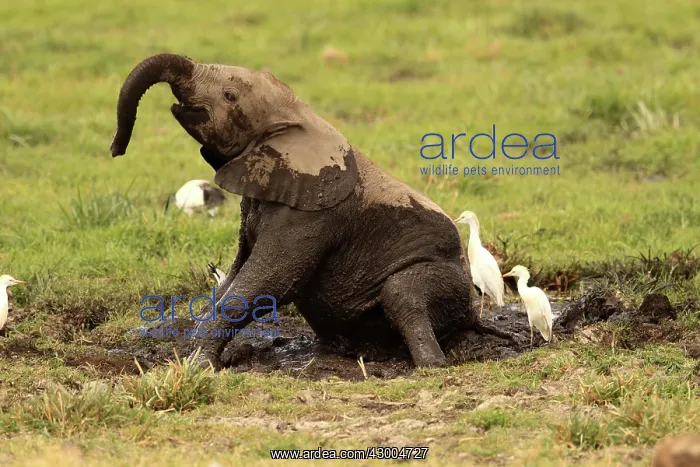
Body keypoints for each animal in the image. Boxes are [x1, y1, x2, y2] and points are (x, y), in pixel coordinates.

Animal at [110, 53, 513, 369]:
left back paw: (429, 366)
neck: (297, 114)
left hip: (444, 275)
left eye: (229, 95)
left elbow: (271, 280)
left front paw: (199, 366)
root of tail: (471, 315)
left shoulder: (313, 215)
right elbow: (235, 275)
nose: (116, 149)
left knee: (403, 294)